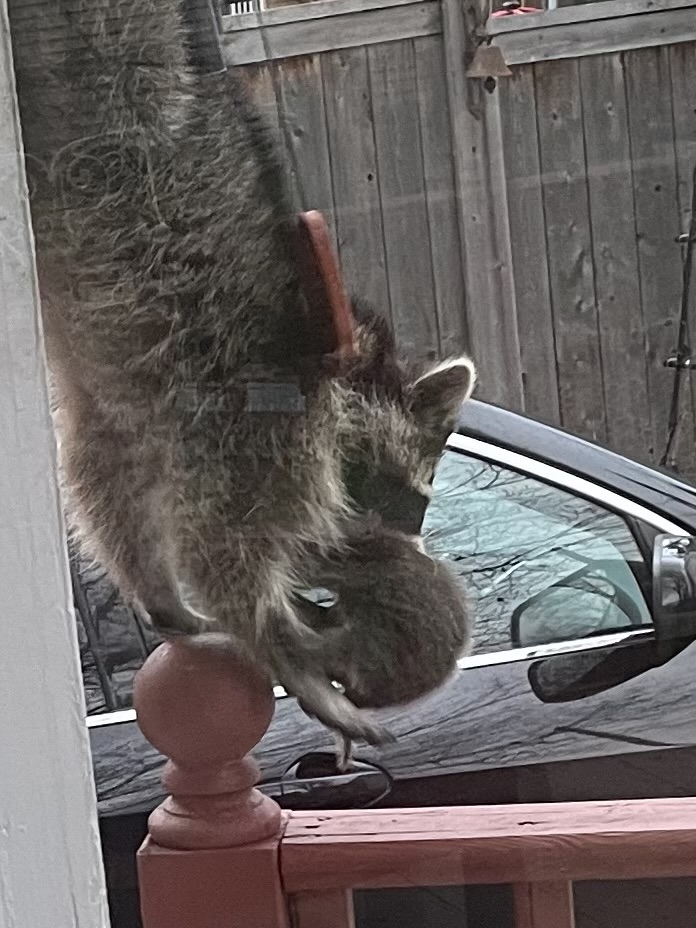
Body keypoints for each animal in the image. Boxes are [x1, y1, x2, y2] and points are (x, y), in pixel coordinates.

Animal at [11, 0, 475, 745]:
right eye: (409, 495)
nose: (403, 561)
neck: (342, 350)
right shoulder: (253, 392)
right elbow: (222, 540)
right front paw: (269, 632)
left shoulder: (130, 385)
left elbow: (102, 474)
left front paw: (158, 593)